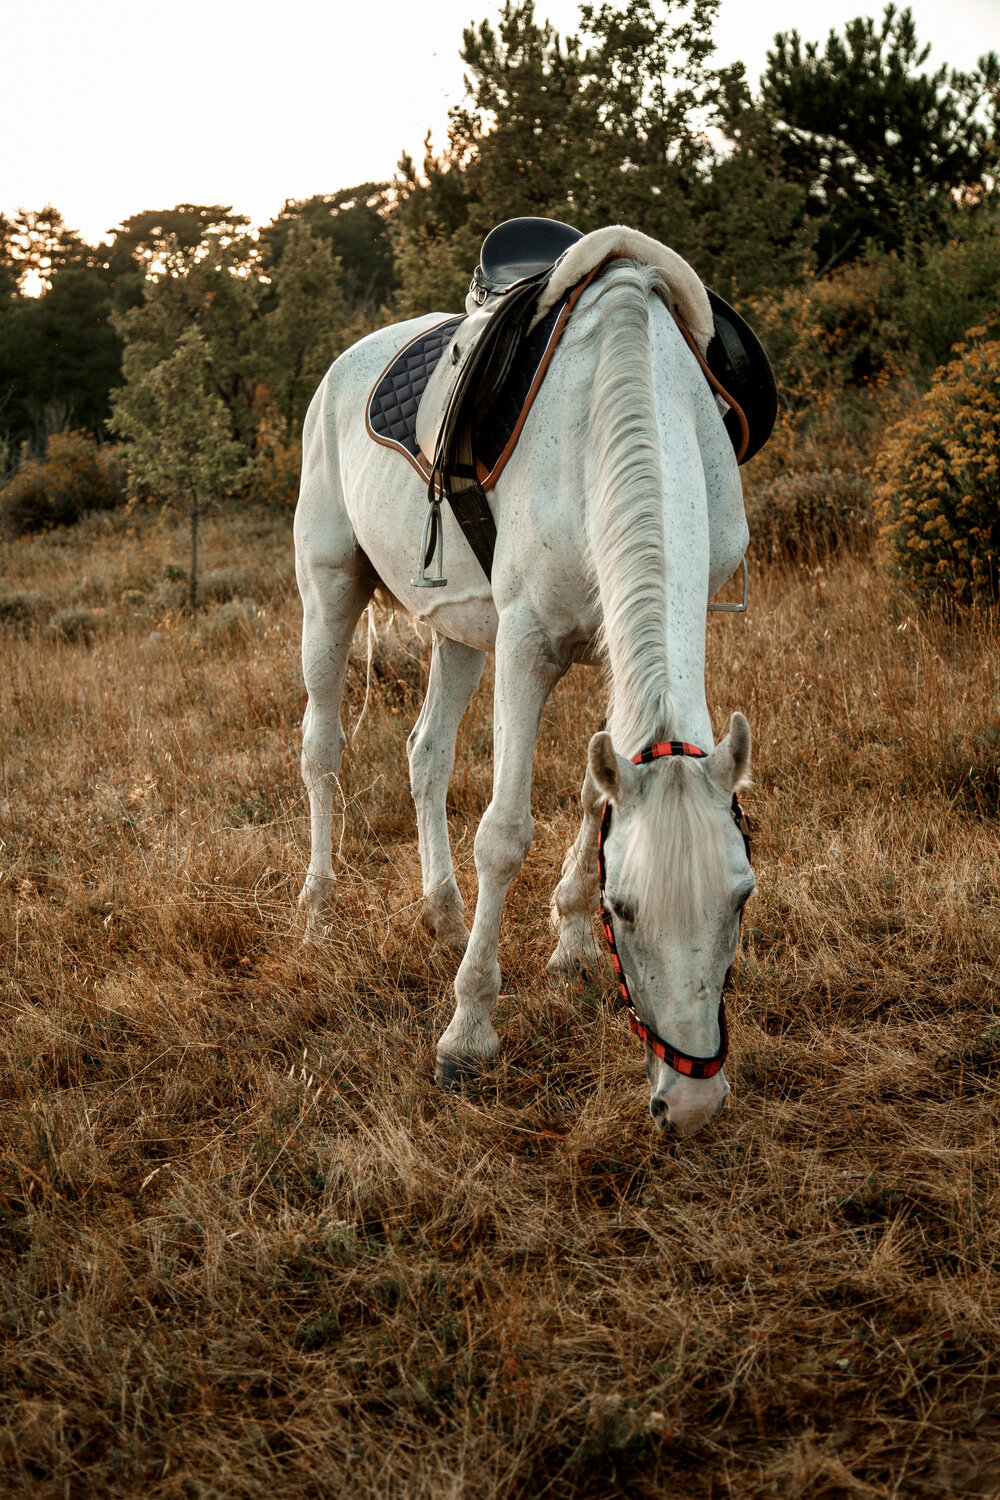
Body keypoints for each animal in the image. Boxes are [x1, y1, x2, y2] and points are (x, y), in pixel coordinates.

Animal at [293, 251, 754, 1136]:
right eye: (626, 909)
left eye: (741, 900)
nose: (691, 1104)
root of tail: (342, 363)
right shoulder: (527, 645)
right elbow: (505, 835)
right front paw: (467, 1033)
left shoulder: (604, 642)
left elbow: (592, 793)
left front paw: (568, 949)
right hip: (331, 590)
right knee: (322, 749)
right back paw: (318, 903)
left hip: (462, 632)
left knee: (426, 752)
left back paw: (442, 909)